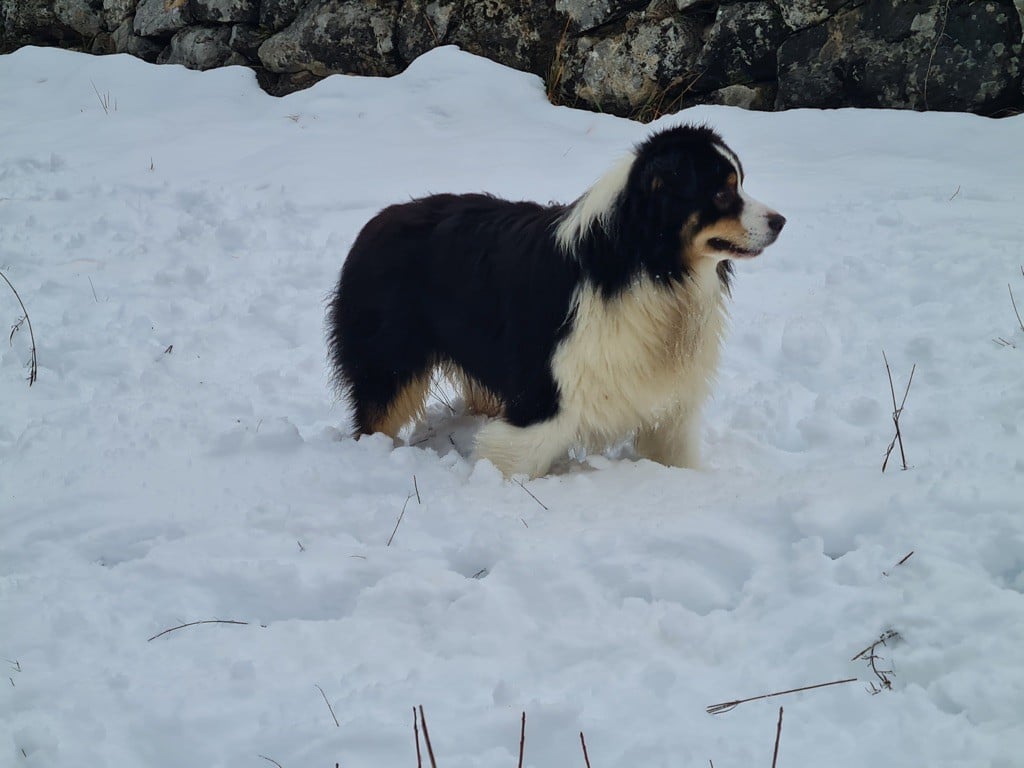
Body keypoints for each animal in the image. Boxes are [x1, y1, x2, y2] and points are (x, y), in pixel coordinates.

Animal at [327, 123, 782, 479]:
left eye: (740, 183)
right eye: (721, 193)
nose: (780, 221)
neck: (649, 267)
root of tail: (377, 220)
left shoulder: (669, 409)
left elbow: (675, 455)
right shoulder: (546, 398)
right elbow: (511, 460)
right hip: (389, 361)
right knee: (375, 417)